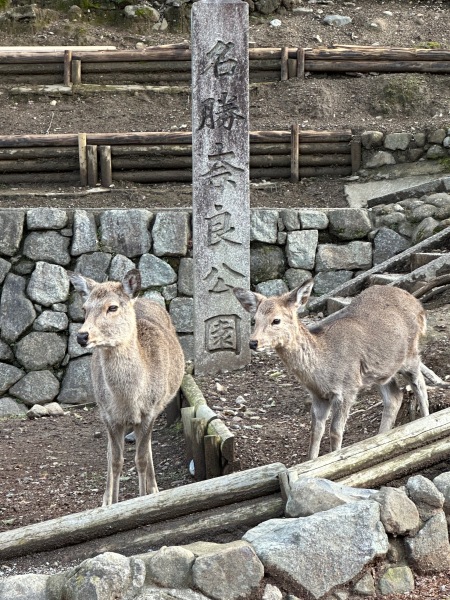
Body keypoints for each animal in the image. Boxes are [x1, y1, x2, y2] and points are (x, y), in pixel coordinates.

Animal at [69, 269, 185, 506]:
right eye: (84, 308)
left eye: (112, 307)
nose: (82, 335)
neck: (129, 400)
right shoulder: (108, 416)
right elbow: (115, 460)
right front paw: (111, 503)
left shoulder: (149, 412)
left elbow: (140, 458)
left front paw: (142, 497)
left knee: (148, 449)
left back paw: (154, 488)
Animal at [234, 281, 429, 460]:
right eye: (254, 320)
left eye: (276, 320)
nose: (253, 342)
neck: (323, 371)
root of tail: (418, 305)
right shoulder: (318, 396)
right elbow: (315, 431)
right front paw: (311, 462)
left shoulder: (348, 388)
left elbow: (335, 431)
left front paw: (335, 458)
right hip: (381, 370)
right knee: (394, 397)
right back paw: (380, 439)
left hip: (410, 354)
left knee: (419, 384)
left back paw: (425, 422)